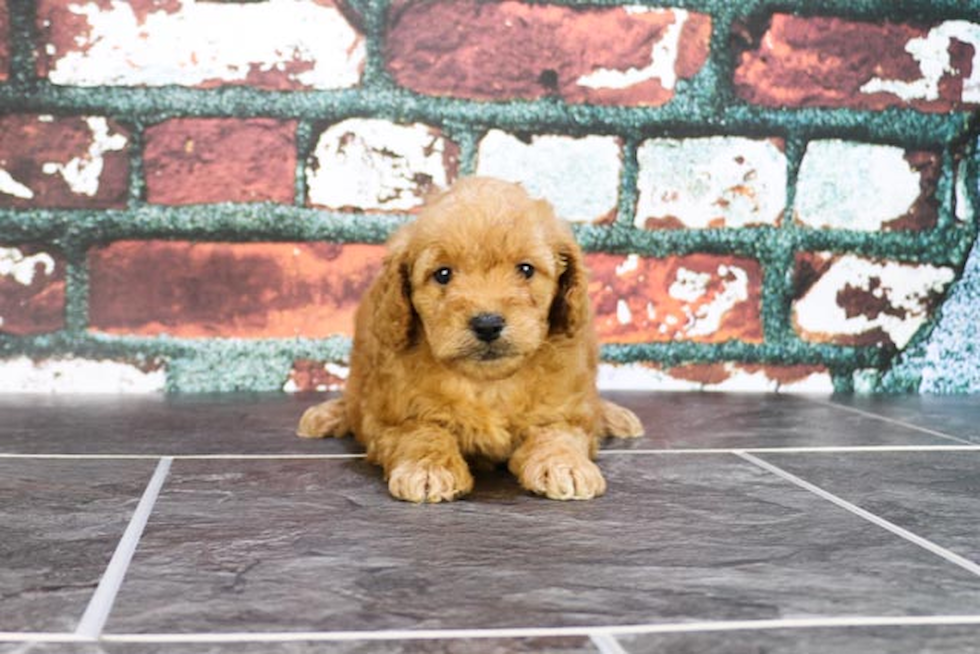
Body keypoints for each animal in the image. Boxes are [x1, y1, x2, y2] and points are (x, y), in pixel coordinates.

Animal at [298, 177, 644, 504]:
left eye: (526, 269)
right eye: (443, 274)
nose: (487, 324)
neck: (488, 383)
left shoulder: (565, 407)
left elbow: (559, 433)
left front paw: (565, 465)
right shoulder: (392, 418)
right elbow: (421, 432)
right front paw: (428, 469)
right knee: (353, 399)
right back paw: (326, 415)